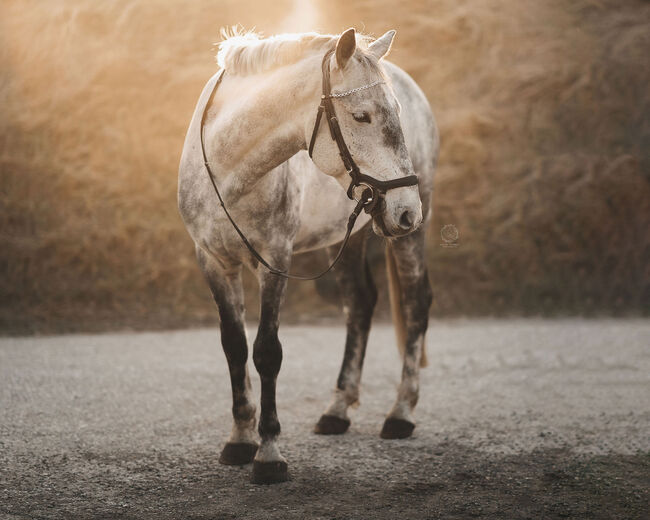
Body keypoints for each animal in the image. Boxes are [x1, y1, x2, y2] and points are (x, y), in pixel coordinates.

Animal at [177, 27, 438, 484]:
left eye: (397, 114)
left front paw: (268, 455)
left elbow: (267, 351)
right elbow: (234, 347)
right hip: (349, 236)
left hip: (407, 240)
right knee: (360, 304)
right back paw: (337, 410)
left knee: (415, 303)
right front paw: (239, 440)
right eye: (361, 117)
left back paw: (401, 413)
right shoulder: (213, 261)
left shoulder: (274, 260)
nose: (407, 210)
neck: (230, 172)